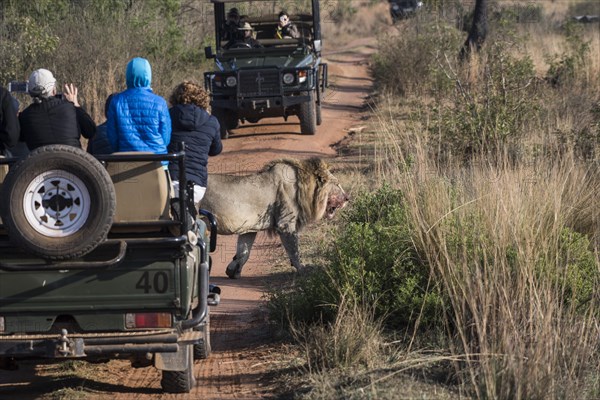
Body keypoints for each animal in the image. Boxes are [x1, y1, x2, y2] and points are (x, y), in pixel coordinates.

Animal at [202, 157, 350, 278]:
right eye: (337, 184)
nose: (348, 198)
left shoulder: (249, 228)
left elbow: (243, 251)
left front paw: (233, 271)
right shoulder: (286, 224)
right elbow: (294, 250)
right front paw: (303, 270)